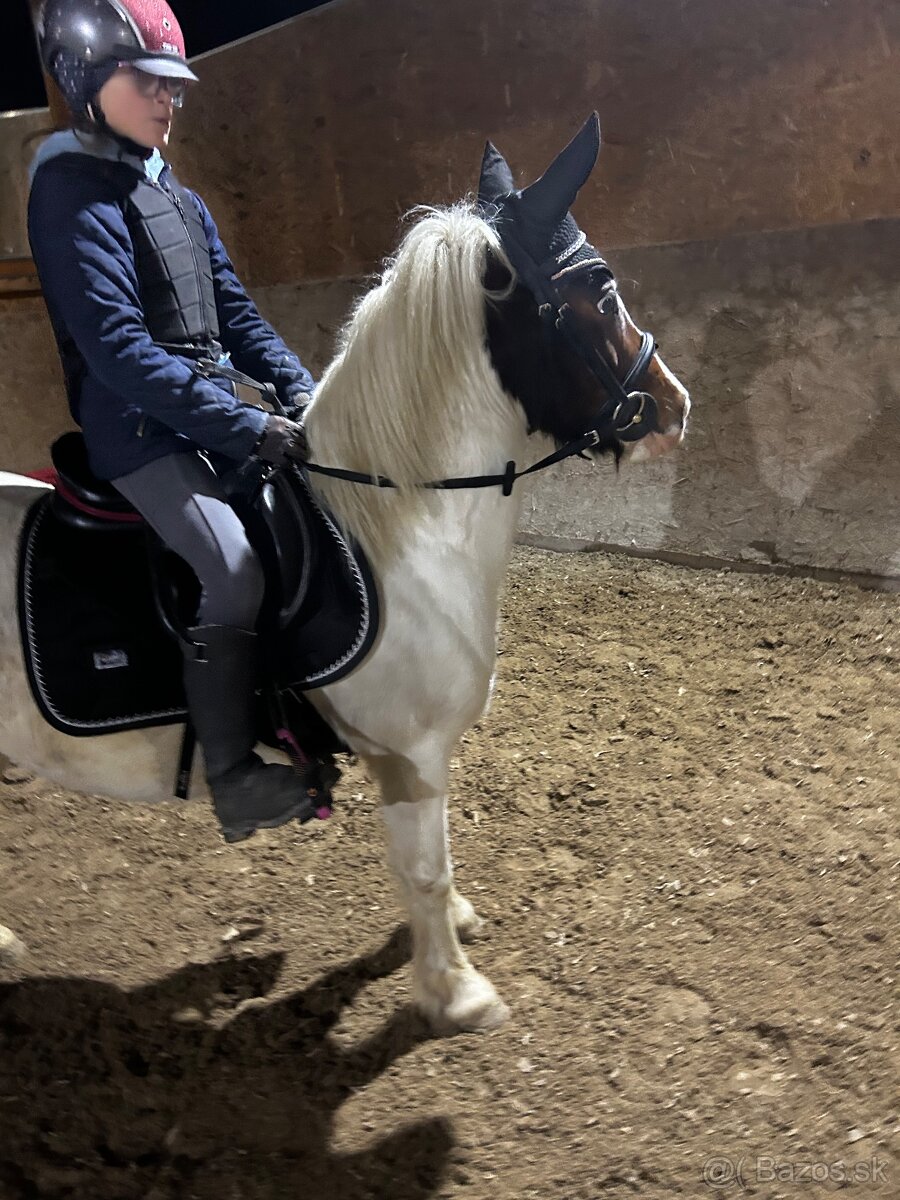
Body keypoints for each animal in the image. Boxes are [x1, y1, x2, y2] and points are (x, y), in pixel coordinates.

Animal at [0, 115, 689, 1032]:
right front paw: (456, 993)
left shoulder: (417, 758)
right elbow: (422, 870)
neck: (397, 526)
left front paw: (455, 932)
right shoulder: (408, 752)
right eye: (603, 289)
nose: (677, 408)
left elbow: (435, 861)